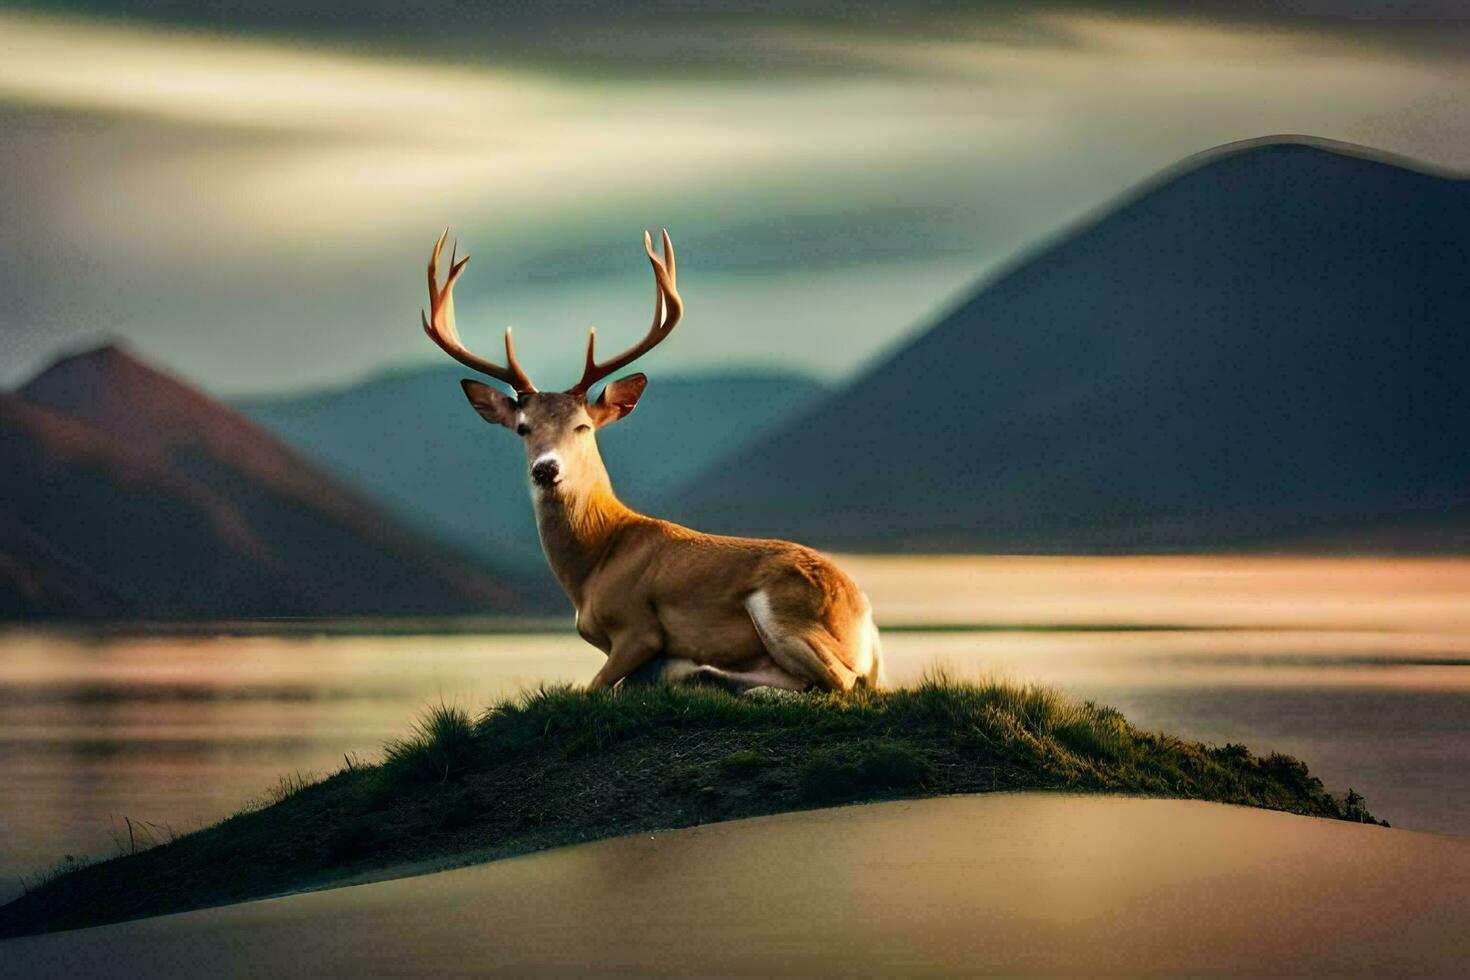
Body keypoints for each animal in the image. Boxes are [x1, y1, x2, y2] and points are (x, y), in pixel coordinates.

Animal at [423, 226, 882, 693]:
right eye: (522, 428)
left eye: (582, 426)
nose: (546, 468)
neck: (594, 566)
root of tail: (866, 618)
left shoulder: (638, 627)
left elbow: (595, 686)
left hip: (783, 606)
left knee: (840, 679)